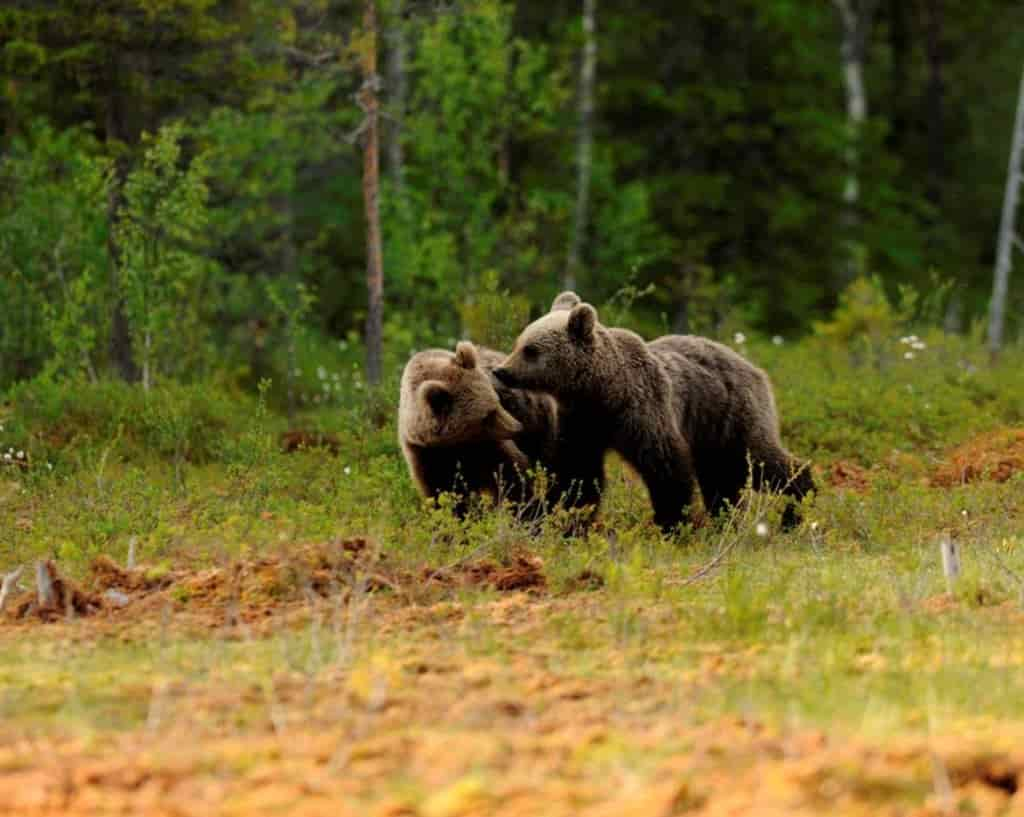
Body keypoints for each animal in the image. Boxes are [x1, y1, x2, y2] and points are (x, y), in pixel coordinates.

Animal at [495, 292, 815, 532]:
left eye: (531, 349)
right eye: (519, 342)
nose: (501, 371)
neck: (602, 390)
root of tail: (753, 367)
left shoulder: (642, 410)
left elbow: (665, 466)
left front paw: (671, 523)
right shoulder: (582, 422)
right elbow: (578, 472)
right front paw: (561, 515)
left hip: (733, 415)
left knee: (759, 460)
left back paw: (797, 505)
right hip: (712, 432)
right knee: (722, 479)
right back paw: (725, 519)